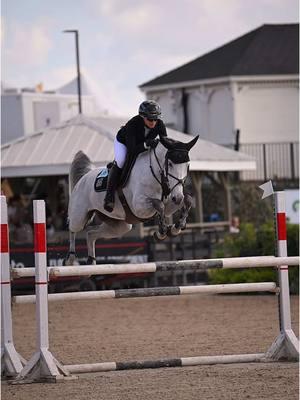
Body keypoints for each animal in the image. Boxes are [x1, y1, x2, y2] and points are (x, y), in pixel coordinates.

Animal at [64, 135, 198, 266]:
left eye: (187, 165)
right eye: (170, 164)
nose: (178, 197)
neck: (155, 175)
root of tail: (83, 178)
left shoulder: (170, 203)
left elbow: (188, 200)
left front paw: (176, 227)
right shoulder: (139, 207)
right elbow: (159, 204)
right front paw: (162, 232)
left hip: (120, 226)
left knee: (91, 234)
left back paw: (91, 261)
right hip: (79, 217)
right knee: (72, 228)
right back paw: (70, 260)